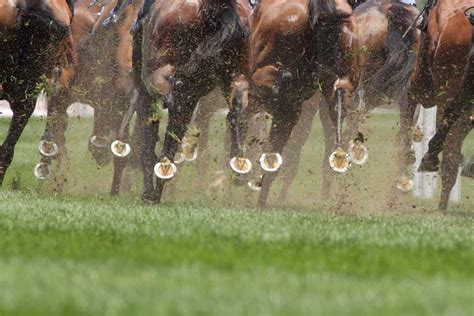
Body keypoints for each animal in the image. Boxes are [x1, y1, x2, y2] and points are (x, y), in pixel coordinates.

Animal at [133, 0, 252, 202]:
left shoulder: (145, 93)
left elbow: (148, 143)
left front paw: (149, 192)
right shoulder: (191, 98)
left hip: (159, 74)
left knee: (171, 101)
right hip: (237, 76)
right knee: (236, 114)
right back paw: (238, 168)